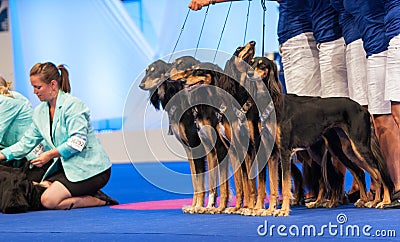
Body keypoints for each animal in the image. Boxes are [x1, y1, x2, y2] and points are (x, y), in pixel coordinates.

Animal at [250, 56, 394, 216]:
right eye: (251, 62)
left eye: (262, 65)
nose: (249, 73)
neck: (274, 103)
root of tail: (363, 109)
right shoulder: (273, 153)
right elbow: (274, 185)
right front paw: (269, 210)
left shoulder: (285, 151)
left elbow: (285, 184)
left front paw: (283, 210)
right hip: (347, 150)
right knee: (365, 173)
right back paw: (370, 201)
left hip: (359, 146)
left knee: (380, 172)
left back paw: (385, 201)